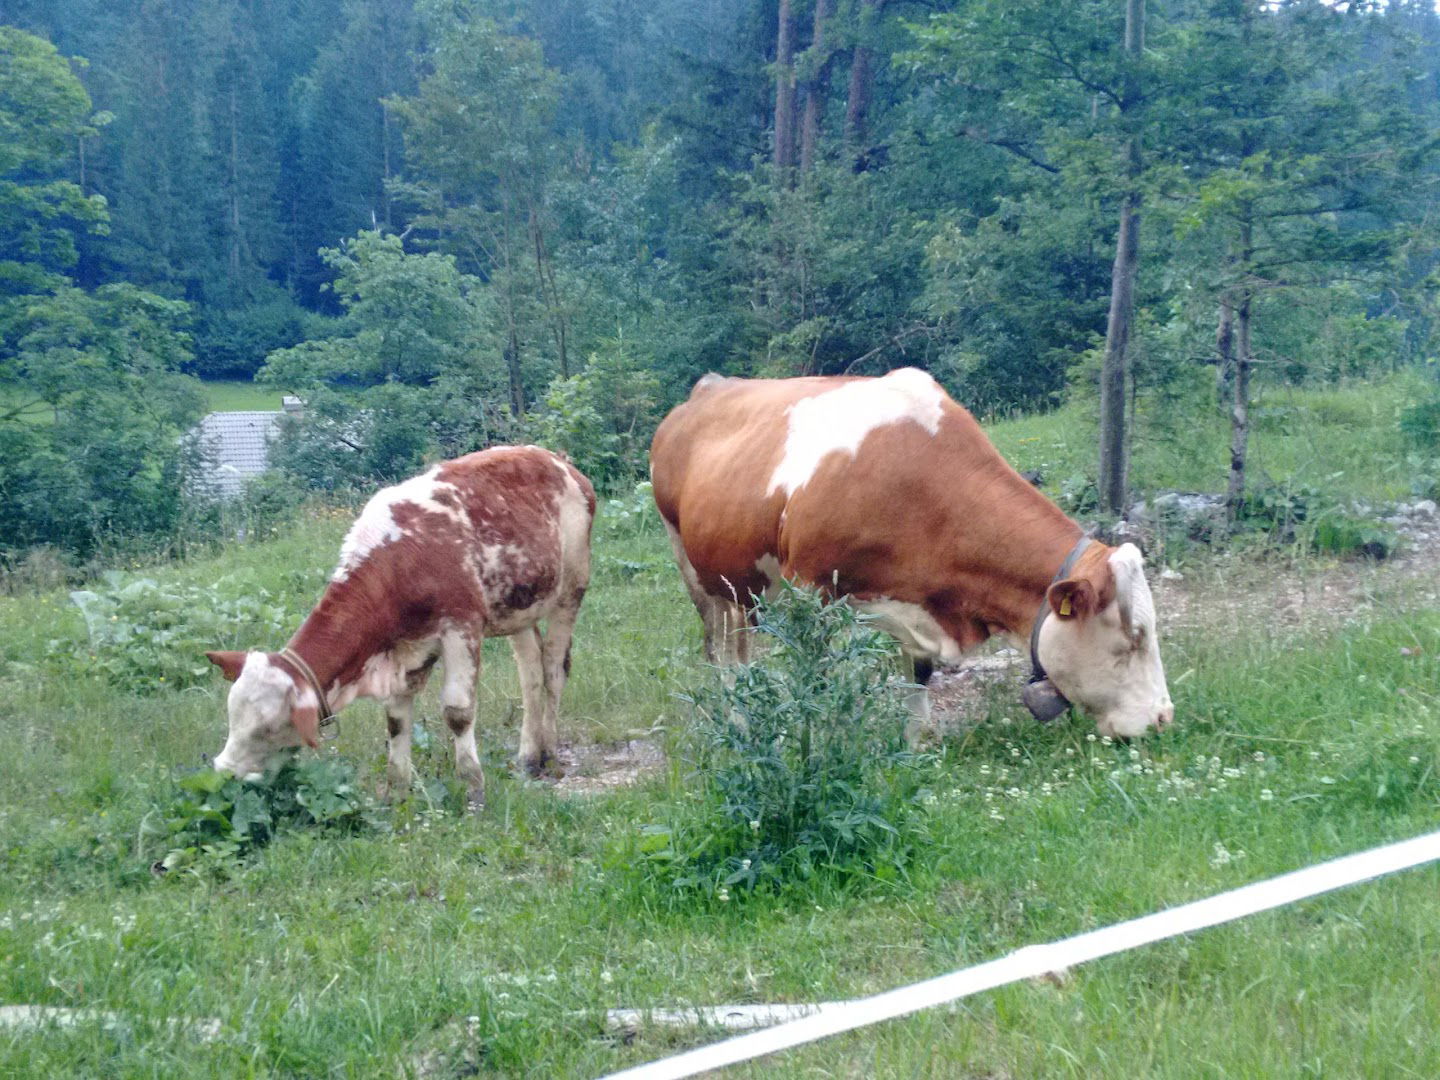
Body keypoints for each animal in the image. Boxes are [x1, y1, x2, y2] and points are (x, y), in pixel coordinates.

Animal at [205, 443, 593, 806]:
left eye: (268, 727)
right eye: (232, 715)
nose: (224, 770)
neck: (401, 562)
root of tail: (556, 460)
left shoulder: (461, 627)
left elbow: (458, 712)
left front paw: (472, 788)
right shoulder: (405, 649)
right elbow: (396, 720)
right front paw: (397, 793)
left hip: (571, 589)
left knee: (553, 668)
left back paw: (550, 753)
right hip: (519, 607)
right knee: (531, 674)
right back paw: (528, 757)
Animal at [653, 368, 1169, 743]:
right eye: (1133, 639)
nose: (1163, 718)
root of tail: (710, 386)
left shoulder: (921, 601)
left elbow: (919, 674)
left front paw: (917, 741)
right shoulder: (811, 591)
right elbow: (820, 678)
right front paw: (824, 739)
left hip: (739, 585)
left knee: (738, 647)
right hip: (691, 568)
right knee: (718, 651)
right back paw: (735, 720)